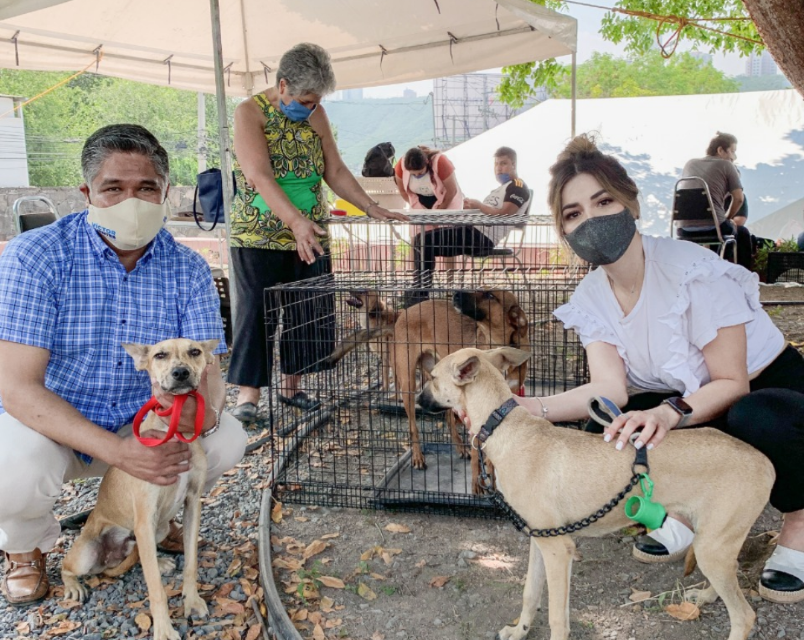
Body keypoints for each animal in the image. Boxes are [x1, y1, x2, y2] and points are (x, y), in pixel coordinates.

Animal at [62, 336, 220, 640]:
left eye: (195, 351)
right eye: (160, 355)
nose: (181, 372)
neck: (176, 431)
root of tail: (110, 558)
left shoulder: (192, 503)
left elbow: (191, 563)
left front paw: (192, 601)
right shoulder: (145, 518)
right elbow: (156, 588)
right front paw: (164, 630)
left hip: (158, 529)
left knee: (141, 557)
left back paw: (160, 561)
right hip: (88, 554)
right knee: (68, 566)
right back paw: (73, 586)